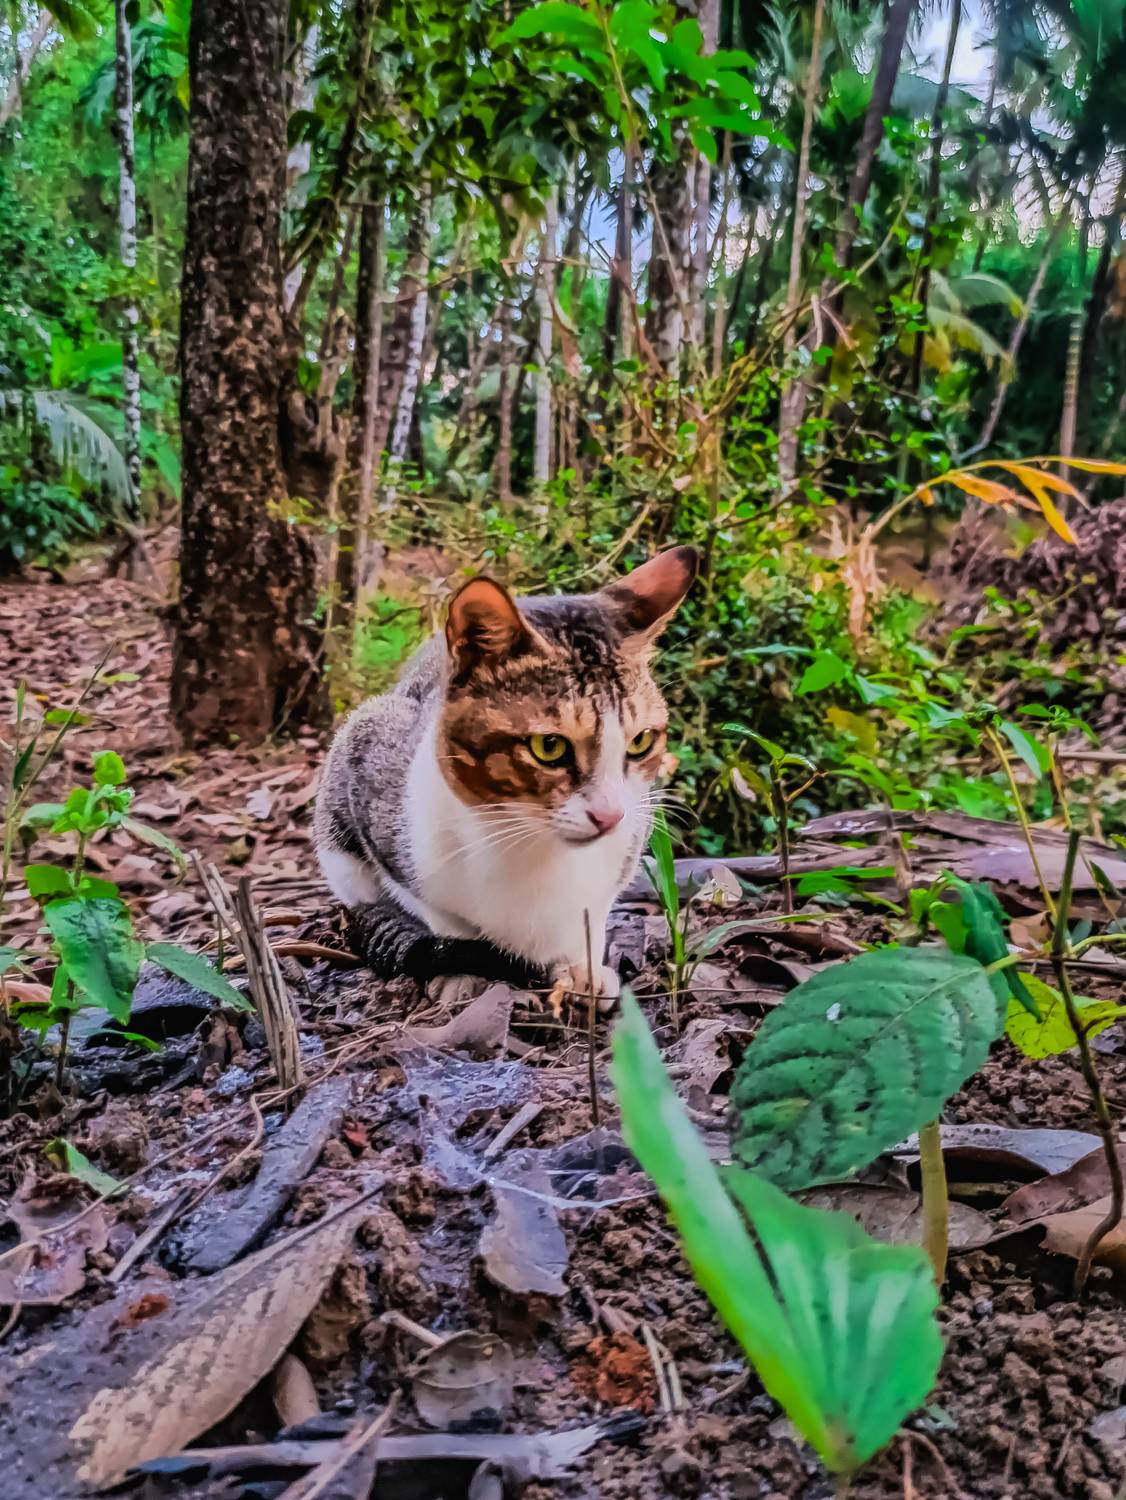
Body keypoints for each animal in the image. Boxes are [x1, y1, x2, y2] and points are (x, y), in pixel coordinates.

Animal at [314, 545, 698, 1006]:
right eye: (549, 747)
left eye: (640, 741)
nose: (610, 817)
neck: (533, 846)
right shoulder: (372, 766)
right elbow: (441, 913)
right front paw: (461, 970)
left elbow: (595, 911)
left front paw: (582, 968)